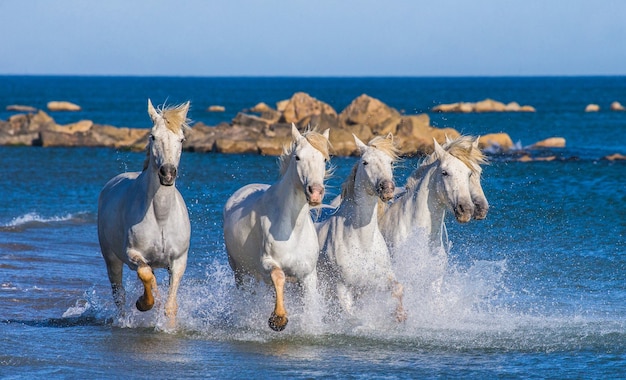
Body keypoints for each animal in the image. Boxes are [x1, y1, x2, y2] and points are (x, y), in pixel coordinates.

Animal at [97, 98, 190, 326]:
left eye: (182, 139)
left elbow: (170, 305)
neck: (161, 217)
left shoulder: (178, 261)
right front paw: (143, 303)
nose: (167, 173)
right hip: (111, 259)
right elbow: (146, 274)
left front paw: (169, 327)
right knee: (119, 295)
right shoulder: (133, 254)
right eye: (153, 136)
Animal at [224, 126, 332, 332]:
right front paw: (278, 319)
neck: (292, 231)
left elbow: (310, 304)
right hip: (239, 271)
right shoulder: (267, 262)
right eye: (297, 157)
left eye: (324, 159)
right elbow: (279, 275)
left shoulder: (307, 275)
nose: (315, 192)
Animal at [316, 133, 404, 320]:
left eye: (390, 162)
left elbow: (398, 288)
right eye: (365, 162)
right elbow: (352, 315)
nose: (387, 188)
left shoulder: (376, 281)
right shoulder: (342, 287)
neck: (362, 242)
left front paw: (400, 315)